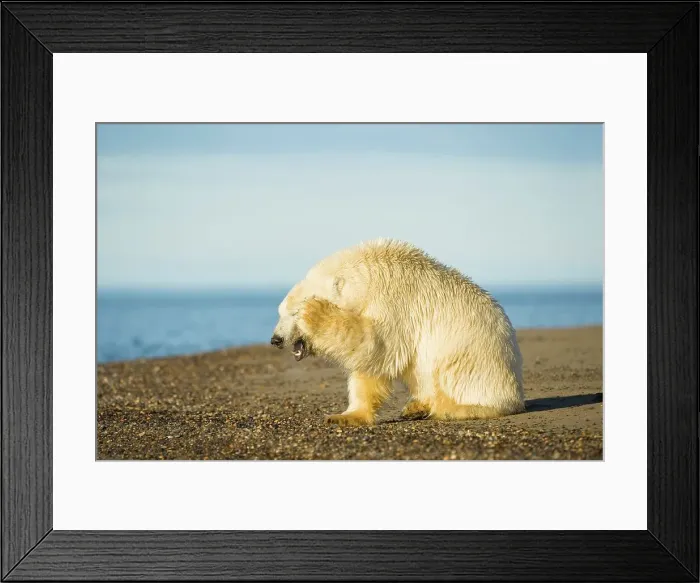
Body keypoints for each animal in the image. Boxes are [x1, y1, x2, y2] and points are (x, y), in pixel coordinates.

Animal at [270, 239, 525, 426]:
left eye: (294, 312)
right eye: (280, 311)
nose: (276, 339)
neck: (369, 274)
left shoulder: (393, 301)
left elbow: (380, 345)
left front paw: (315, 311)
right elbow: (370, 366)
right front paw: (344, 416)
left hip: (473, 354)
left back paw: (447, 408)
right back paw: (417, 406)